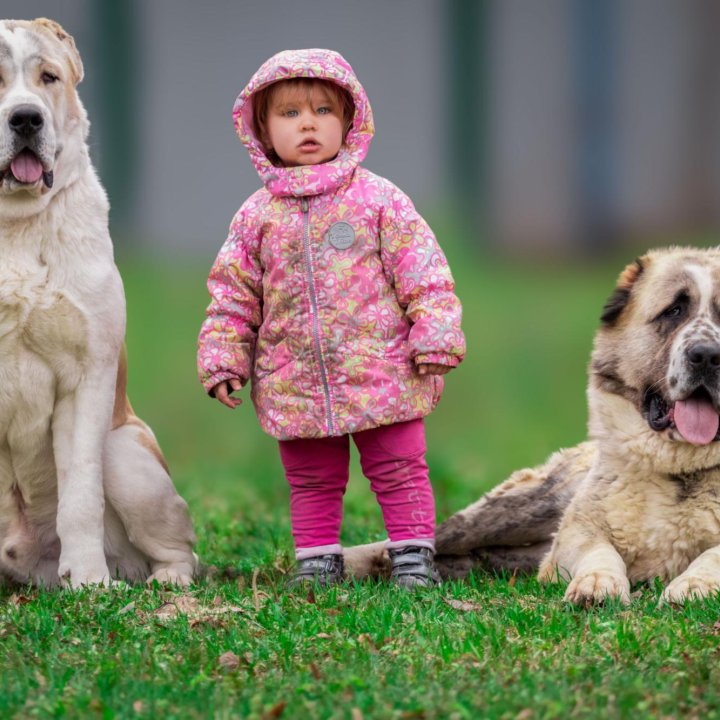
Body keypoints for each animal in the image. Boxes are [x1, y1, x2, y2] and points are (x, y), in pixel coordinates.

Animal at [0, 19, 197, 588]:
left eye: (48, 77)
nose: (26, 118)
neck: (11, 225)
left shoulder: (86, 376)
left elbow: (81, 493)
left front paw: (89, 581)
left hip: (128, 455)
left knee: (181, 551)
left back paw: (164, 584)